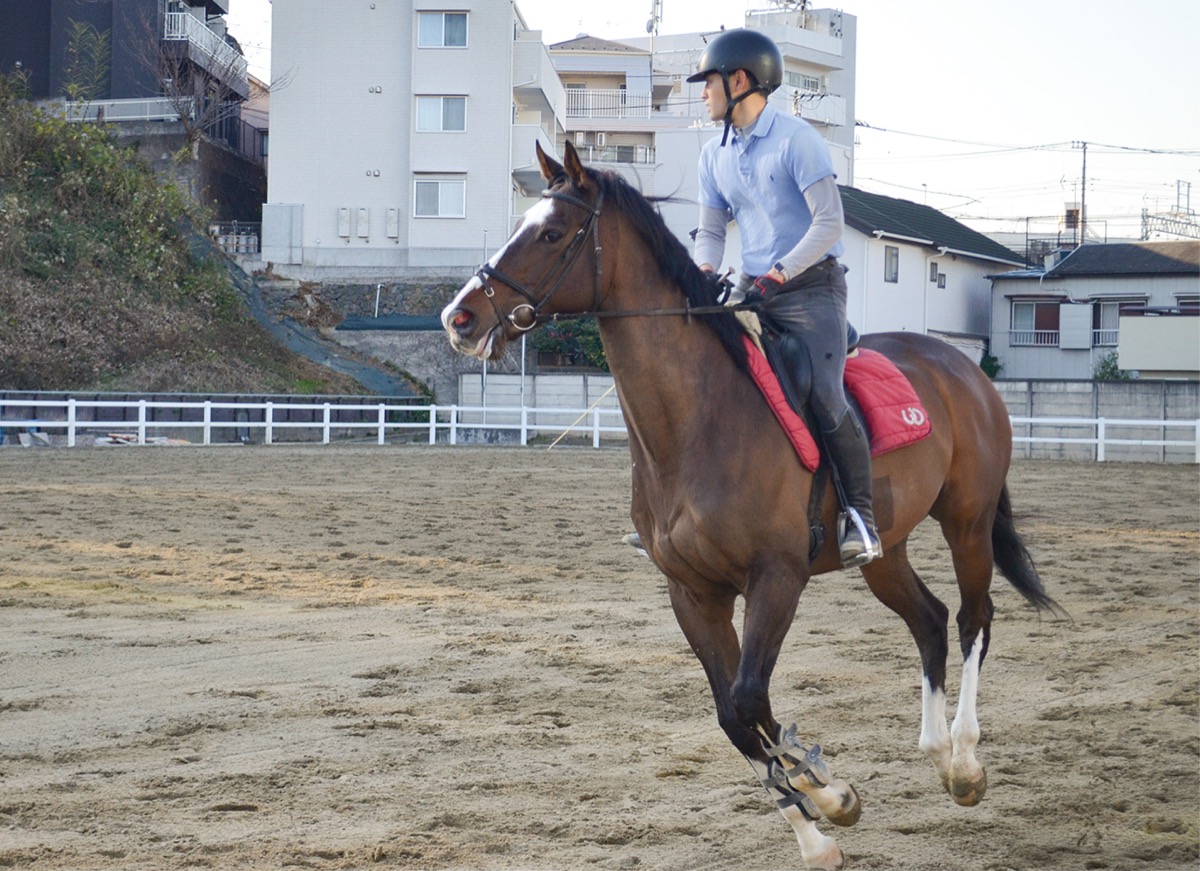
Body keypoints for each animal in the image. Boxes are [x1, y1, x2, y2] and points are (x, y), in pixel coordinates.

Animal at [440, 141, 1061, 870]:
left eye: (551, 233)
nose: (459, 317)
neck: (698, 423)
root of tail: (960, 366)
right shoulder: (693, 592)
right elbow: (733, 715)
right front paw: (821, 821)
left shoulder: (776, 579)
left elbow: (747, 697)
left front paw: (826, 796)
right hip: (886, 550)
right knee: (930, 621)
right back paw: (936, 752)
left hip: (967, 520)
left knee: (972, 619)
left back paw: (964, 763)